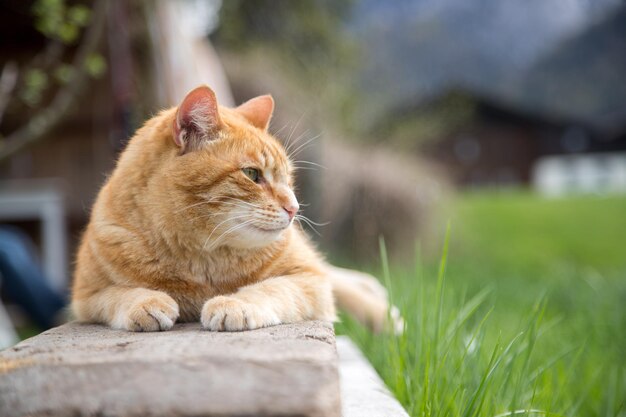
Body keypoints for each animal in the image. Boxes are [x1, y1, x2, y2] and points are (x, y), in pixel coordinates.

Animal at [69, 85, 400, 332]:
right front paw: (146, 302)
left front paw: (234, 303)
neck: (201, 260)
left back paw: (382, 310)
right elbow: (118, 294)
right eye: (252, 174)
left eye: (288, 178)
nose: (294, 209)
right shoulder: (85, 297)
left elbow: (270, 289)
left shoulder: (307, 280)